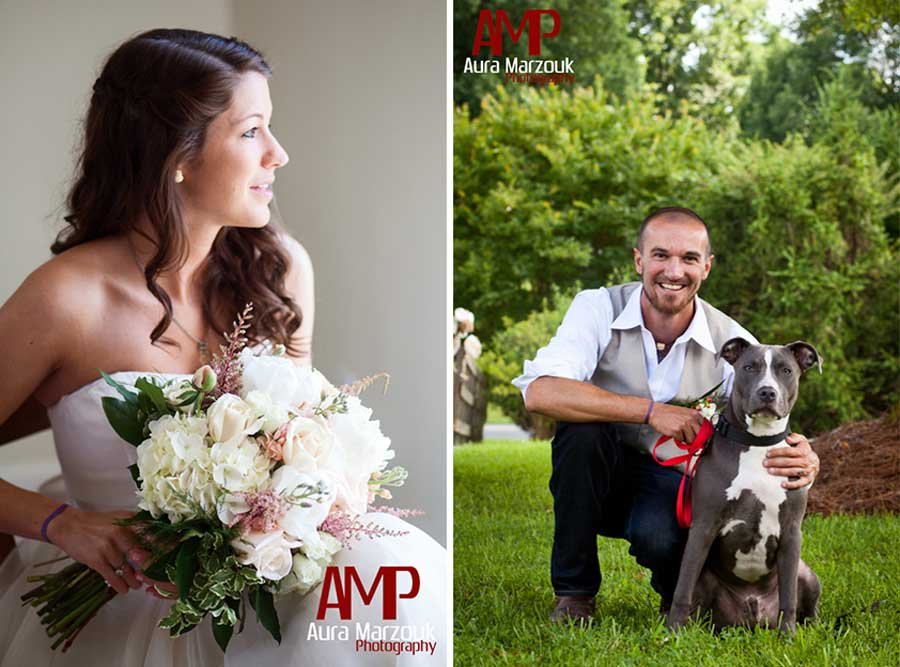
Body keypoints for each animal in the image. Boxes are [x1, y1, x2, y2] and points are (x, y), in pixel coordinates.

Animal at [668, 340, 824, 636]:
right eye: (750, 367)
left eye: (786, 370)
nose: (767, 392)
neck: (758, 442)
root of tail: (754, 618)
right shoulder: (703, 527)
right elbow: (682, 587)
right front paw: (673, 632)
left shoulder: (791, 531)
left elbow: (789, 594)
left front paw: (788, 637)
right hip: (706, 579)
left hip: (807, 574)